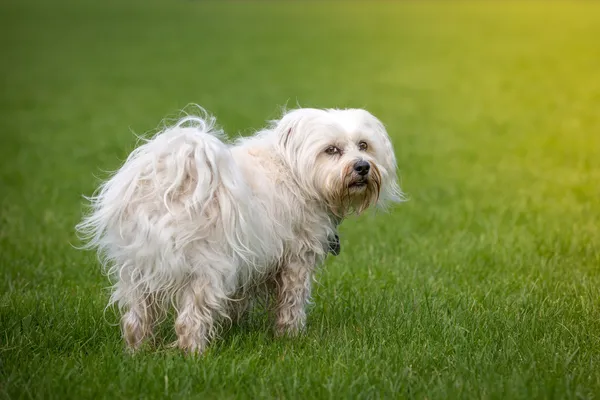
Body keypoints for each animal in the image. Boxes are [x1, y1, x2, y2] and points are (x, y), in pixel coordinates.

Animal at [76, 106, 404, 354]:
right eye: (331, 150)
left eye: (363, 145)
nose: (362, 166)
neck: (296, 172)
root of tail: (170, 183)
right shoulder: (296, 260)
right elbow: (291, 302)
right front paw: (290, 336)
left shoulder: (251, 263)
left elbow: (240, 301)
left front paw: (236, 327)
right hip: (206, 270)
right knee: (189, 320)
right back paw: (195, 354)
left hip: (137, 271)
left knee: (136, 318)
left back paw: (137, 352)